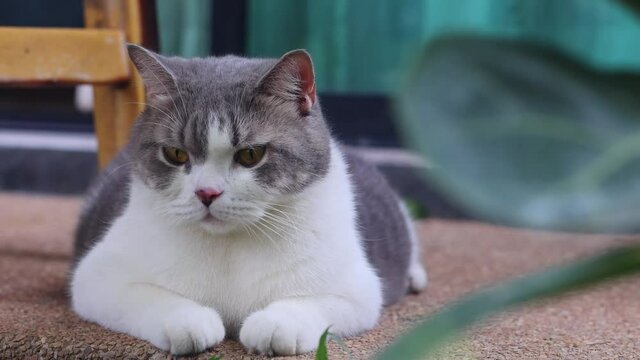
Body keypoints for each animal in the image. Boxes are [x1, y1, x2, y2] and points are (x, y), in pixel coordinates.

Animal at [70, 43, 428, 356]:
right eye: (176, 154)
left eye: (251, 155)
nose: (207, 193)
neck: (230, 246)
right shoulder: (96, 276)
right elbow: (148, 297)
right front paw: (189, 320)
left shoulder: (356, 289)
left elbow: (312, 302)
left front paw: (276, 325)